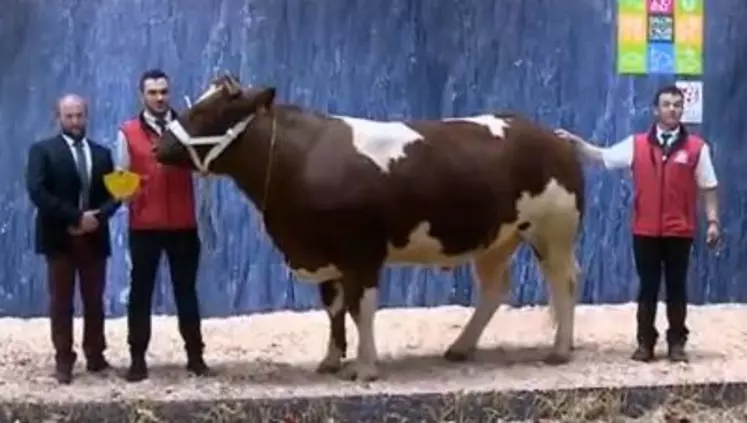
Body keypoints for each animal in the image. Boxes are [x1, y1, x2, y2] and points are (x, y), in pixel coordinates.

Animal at [153, 74, 584, 382]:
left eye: (207, 114)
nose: (159, 149)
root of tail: (554, 135)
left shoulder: (362, 251)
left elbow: (362, 309)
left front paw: (365, 368)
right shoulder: (327, 254)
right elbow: (334, 308)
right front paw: (330, 360)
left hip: (552, 232)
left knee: (563, 284)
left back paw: (559, 351)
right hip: (498, 239)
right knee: (495, 291)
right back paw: (460, 347)